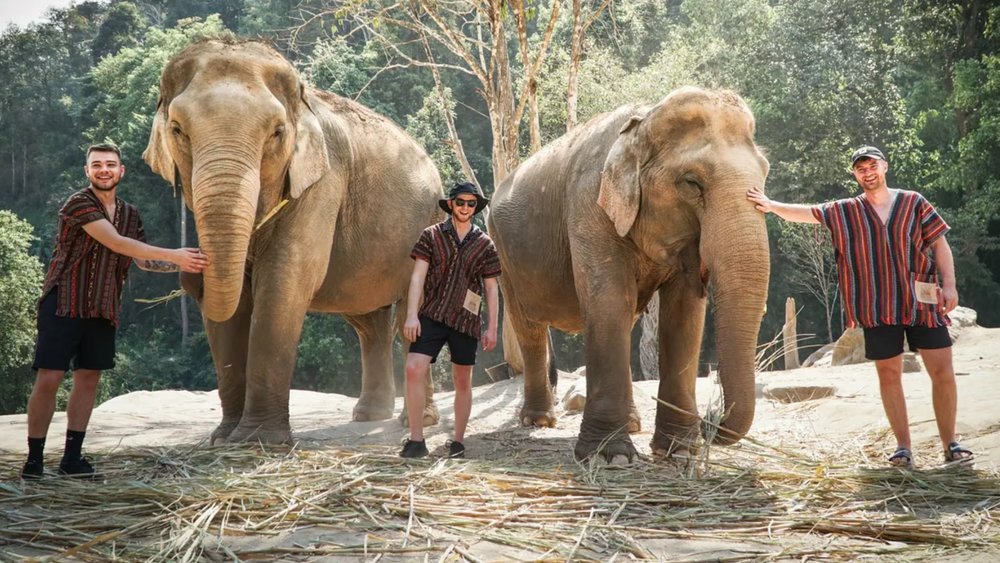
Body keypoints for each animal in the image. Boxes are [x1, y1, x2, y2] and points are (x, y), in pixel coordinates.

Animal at [143, 39, 443, 444]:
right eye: (177, 129)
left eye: (277, 132)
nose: (190, 277)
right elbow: (235, 304)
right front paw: (224, 438)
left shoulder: (322, 182)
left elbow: (284, 281)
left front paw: (258, 441)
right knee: (369, 322)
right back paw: (369, 416)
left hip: (429, 225)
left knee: (411, 313)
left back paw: (416, 421)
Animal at [487, 87, 770, 462]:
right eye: (691, 183)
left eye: (765, 174)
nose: (711, 419)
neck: (644, 120)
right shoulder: (589, 206)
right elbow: (609, 302)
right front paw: (610, 456)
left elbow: (684, 315)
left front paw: (679, 451)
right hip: (504, 254)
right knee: (528, 327)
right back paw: (539, 421)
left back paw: (633, 424)